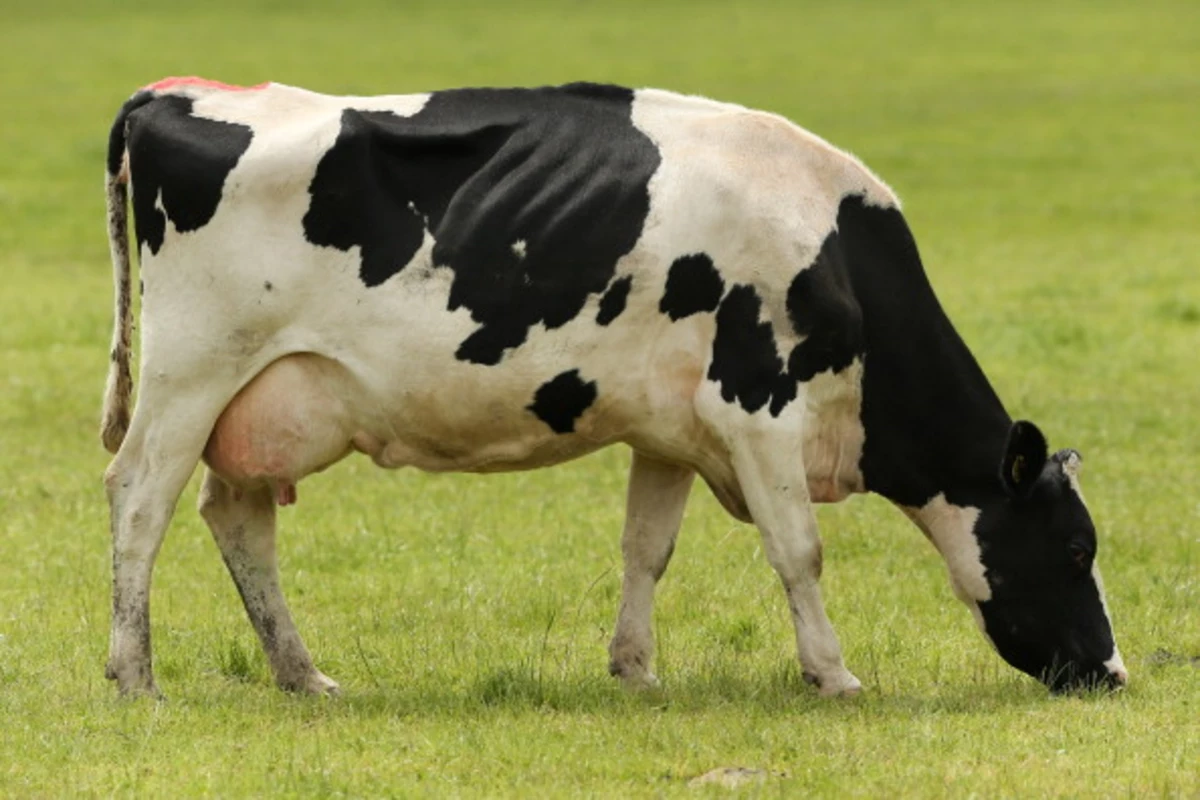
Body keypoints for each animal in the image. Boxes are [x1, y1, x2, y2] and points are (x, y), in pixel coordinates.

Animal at [100, 77, 1127, 699]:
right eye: (1077, 548)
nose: (1110, 672)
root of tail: (177, 93)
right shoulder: (755, 406)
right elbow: (800, 552)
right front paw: (833, 675)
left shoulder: (671, 428)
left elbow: (647, 550)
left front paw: (635, 669)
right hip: (190, 375)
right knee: (139, 500)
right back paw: (135, 674)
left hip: (262, 400)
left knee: (236, 518)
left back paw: (300, 674)